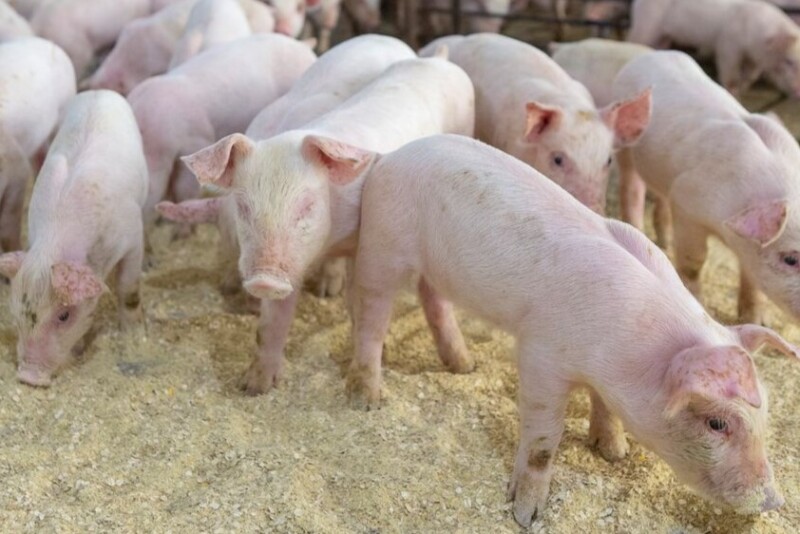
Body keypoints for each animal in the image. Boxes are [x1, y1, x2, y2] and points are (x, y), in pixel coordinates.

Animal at [0, 90, 148, 387]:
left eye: (64, 315)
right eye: (15, 312)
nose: (29, 377)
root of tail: (100, 92)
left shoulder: (132, 235)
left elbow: (128, 288)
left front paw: (133, 334)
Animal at [177, 52, 474, 394]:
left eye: (306, 205)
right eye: (243, 206)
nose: (264, 279)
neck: (331, 237)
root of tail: (437, 58)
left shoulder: (364, 243)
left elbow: (359, 301)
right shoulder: (293, 262)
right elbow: (271, 324)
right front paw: (254, 386)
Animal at [345, 133, 798, 526]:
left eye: (766, 414)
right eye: (717, 424)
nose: (774, 502)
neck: (625, 355)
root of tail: (388, 157)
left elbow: (604, 408)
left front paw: (613, 452)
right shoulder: (540, 355)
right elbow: (545, 439)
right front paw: (525, 516)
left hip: (434, 270)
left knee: (432, 300)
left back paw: (463, 365)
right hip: (383, 246)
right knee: (371, 317)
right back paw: (367, 401)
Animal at [613, 50, 800, 324]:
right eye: (790, 259)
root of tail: (652, 55)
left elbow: (751, 279)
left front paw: (755, 320)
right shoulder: (687, 205)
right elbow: (693, 262)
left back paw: (664, 242)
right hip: (626, 141)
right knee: (631, 184)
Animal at [628, 0, 800, 97]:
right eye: (789, 61)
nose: (797, 91)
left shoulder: (754, 59)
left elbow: (751, 75)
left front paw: (743, 88)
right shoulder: (728, 44)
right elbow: (729, 68)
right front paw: (733, 92)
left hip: (664, 35)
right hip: (647, 22)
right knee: (634, 38)